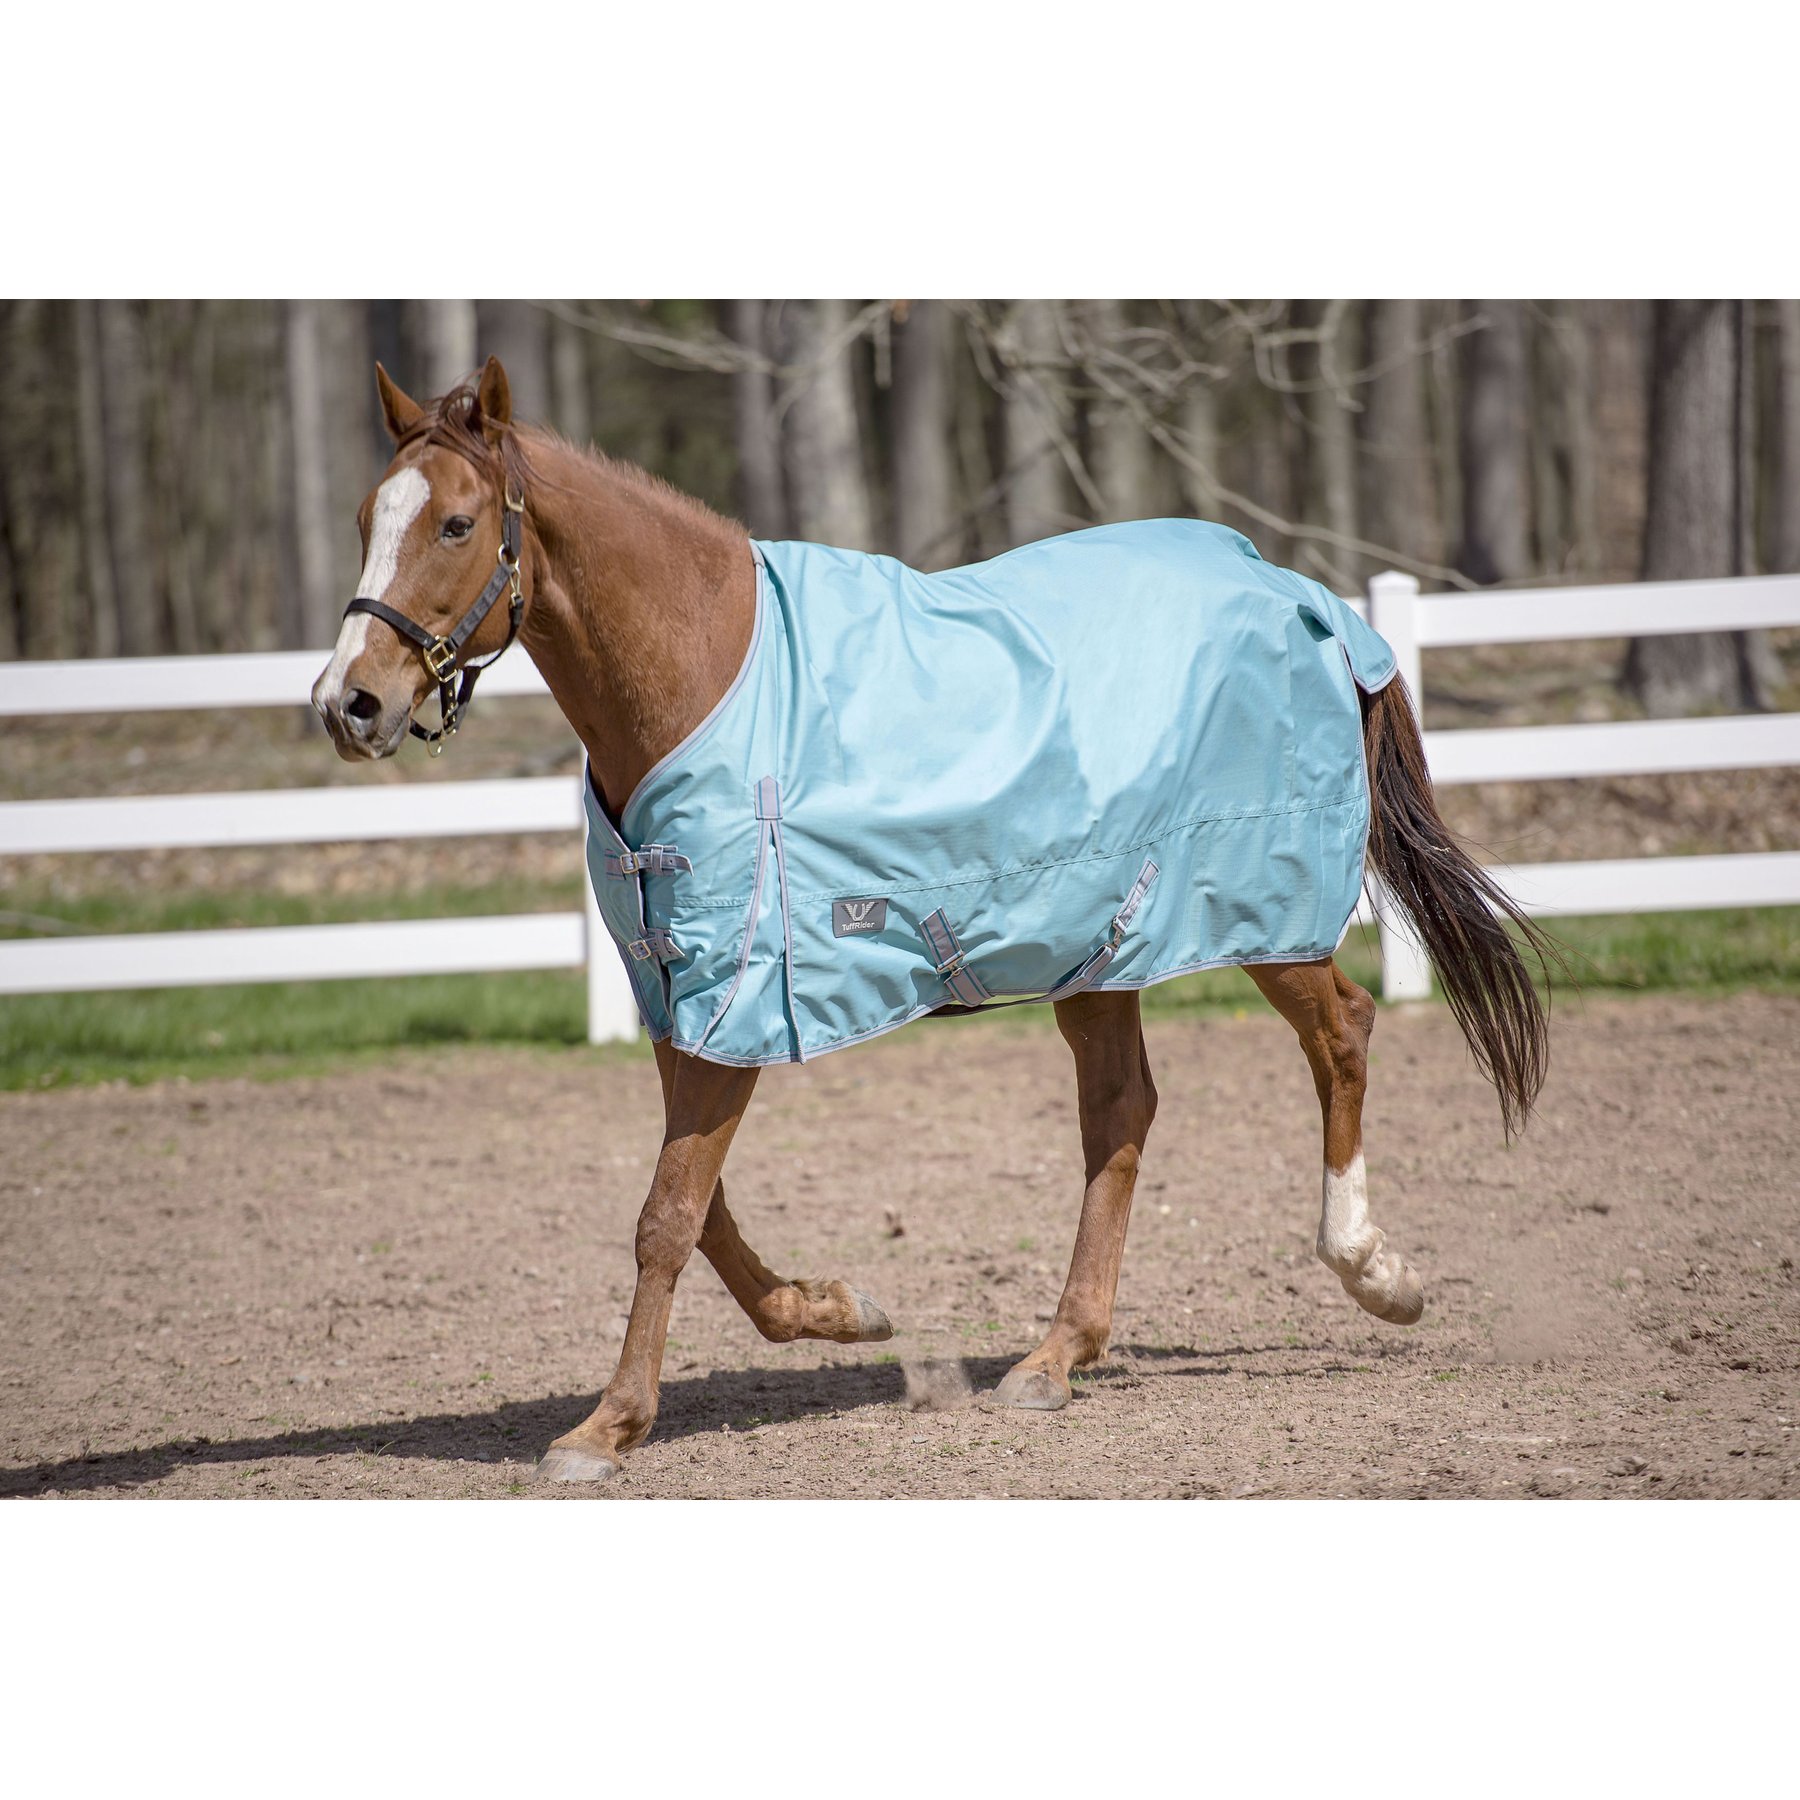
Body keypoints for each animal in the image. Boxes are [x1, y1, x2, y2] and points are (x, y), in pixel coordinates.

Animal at [312, 355, 1552, 1484]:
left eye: (457, 523)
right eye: (369, 517)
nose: (347, 703)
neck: (707, 679)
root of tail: (1301, 593)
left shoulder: (736, 1005)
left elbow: (666, 1214)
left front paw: (605, 1430)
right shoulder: (684, 999)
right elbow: (697, 1207)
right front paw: (835, 1310)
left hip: (1260, 917)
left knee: (1341, 1032)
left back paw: (1374, 1274)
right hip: (1100, 947)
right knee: (1123, 1112)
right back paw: (1054, 1358)